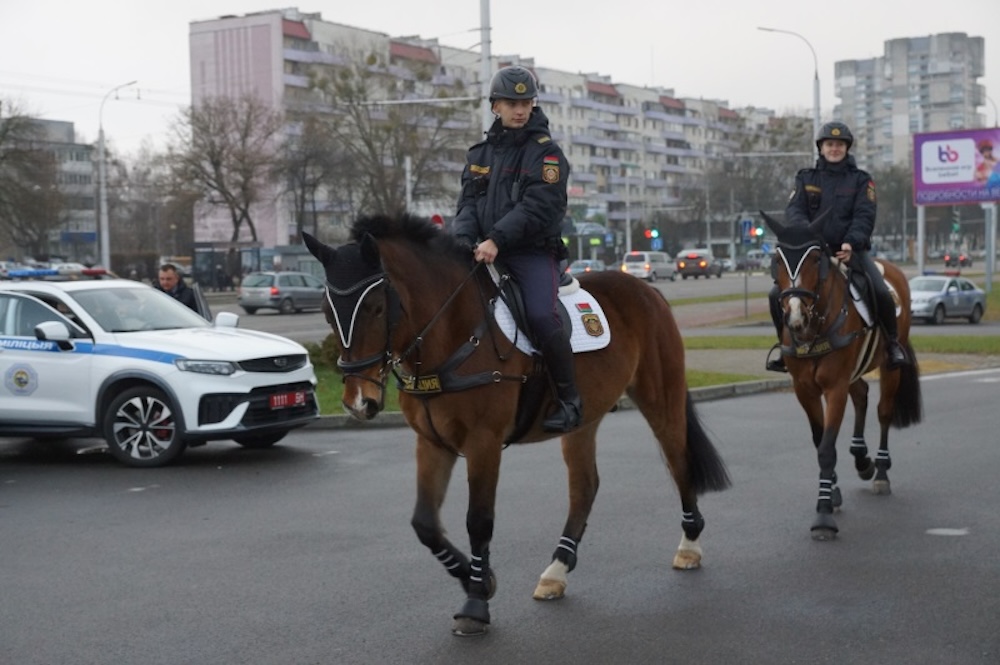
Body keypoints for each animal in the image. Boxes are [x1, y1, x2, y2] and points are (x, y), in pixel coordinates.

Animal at [300, 215, 732, 636]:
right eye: (326, 311)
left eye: (375, 308)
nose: (359, 401)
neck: (452, 333)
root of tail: (648, 290)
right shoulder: (432, 443)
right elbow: (424, 523)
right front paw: (476, 578)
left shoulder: (484, 442)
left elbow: (479, 520)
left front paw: (475, 602)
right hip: (584, 420)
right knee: (585, 486)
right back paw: (556, 569)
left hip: (661, 399)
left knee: (678, 461)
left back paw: (689, 546)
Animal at [764, 213, 920, 540]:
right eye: (777, 260)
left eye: (814, 258)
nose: (795, 315)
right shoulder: (804, 389)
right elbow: (819, 439)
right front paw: (832, 491)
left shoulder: (834, 387)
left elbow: (826, 448)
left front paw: (823, 514)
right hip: (853, 373)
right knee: (861, 395)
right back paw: (861, 459)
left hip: (890, 368)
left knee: (884, 412)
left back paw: (881, 472)